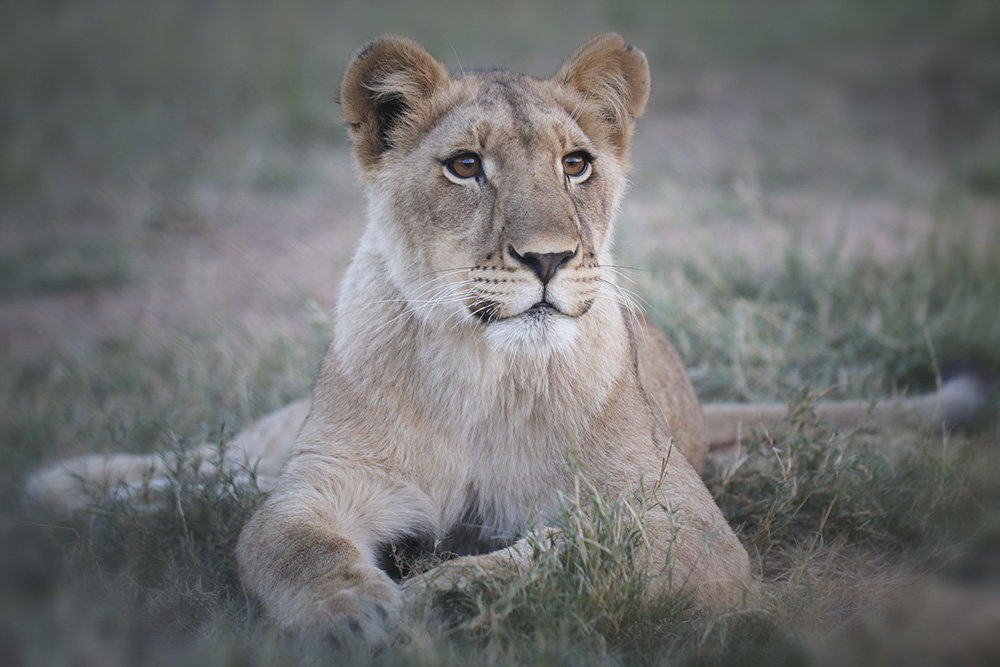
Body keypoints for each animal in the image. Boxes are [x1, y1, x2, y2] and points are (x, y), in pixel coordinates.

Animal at [25, 34, 984, 644]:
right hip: (282, 439)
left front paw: (442, 595)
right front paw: (353, 611)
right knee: (219, 460)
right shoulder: (324, 479)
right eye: (465, 166)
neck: (485, 367)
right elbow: (285, 541)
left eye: (575, 163)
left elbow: (571, 553)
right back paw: (63, 486)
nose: (549, 258)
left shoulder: (686, 524)